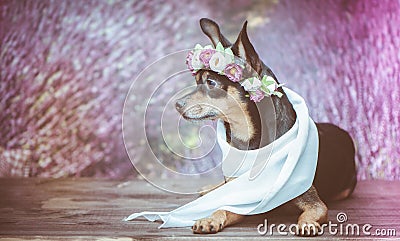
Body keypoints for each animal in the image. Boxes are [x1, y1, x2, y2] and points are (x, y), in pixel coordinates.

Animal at [175, 18, 356, 235]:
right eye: (196, 82)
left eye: (211, 83)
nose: (177, 104)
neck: (246, 138)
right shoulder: (240, 197)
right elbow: (223, 208)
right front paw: (210, 218)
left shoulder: (315, 203)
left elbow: (311, 213)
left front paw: (306, 224)